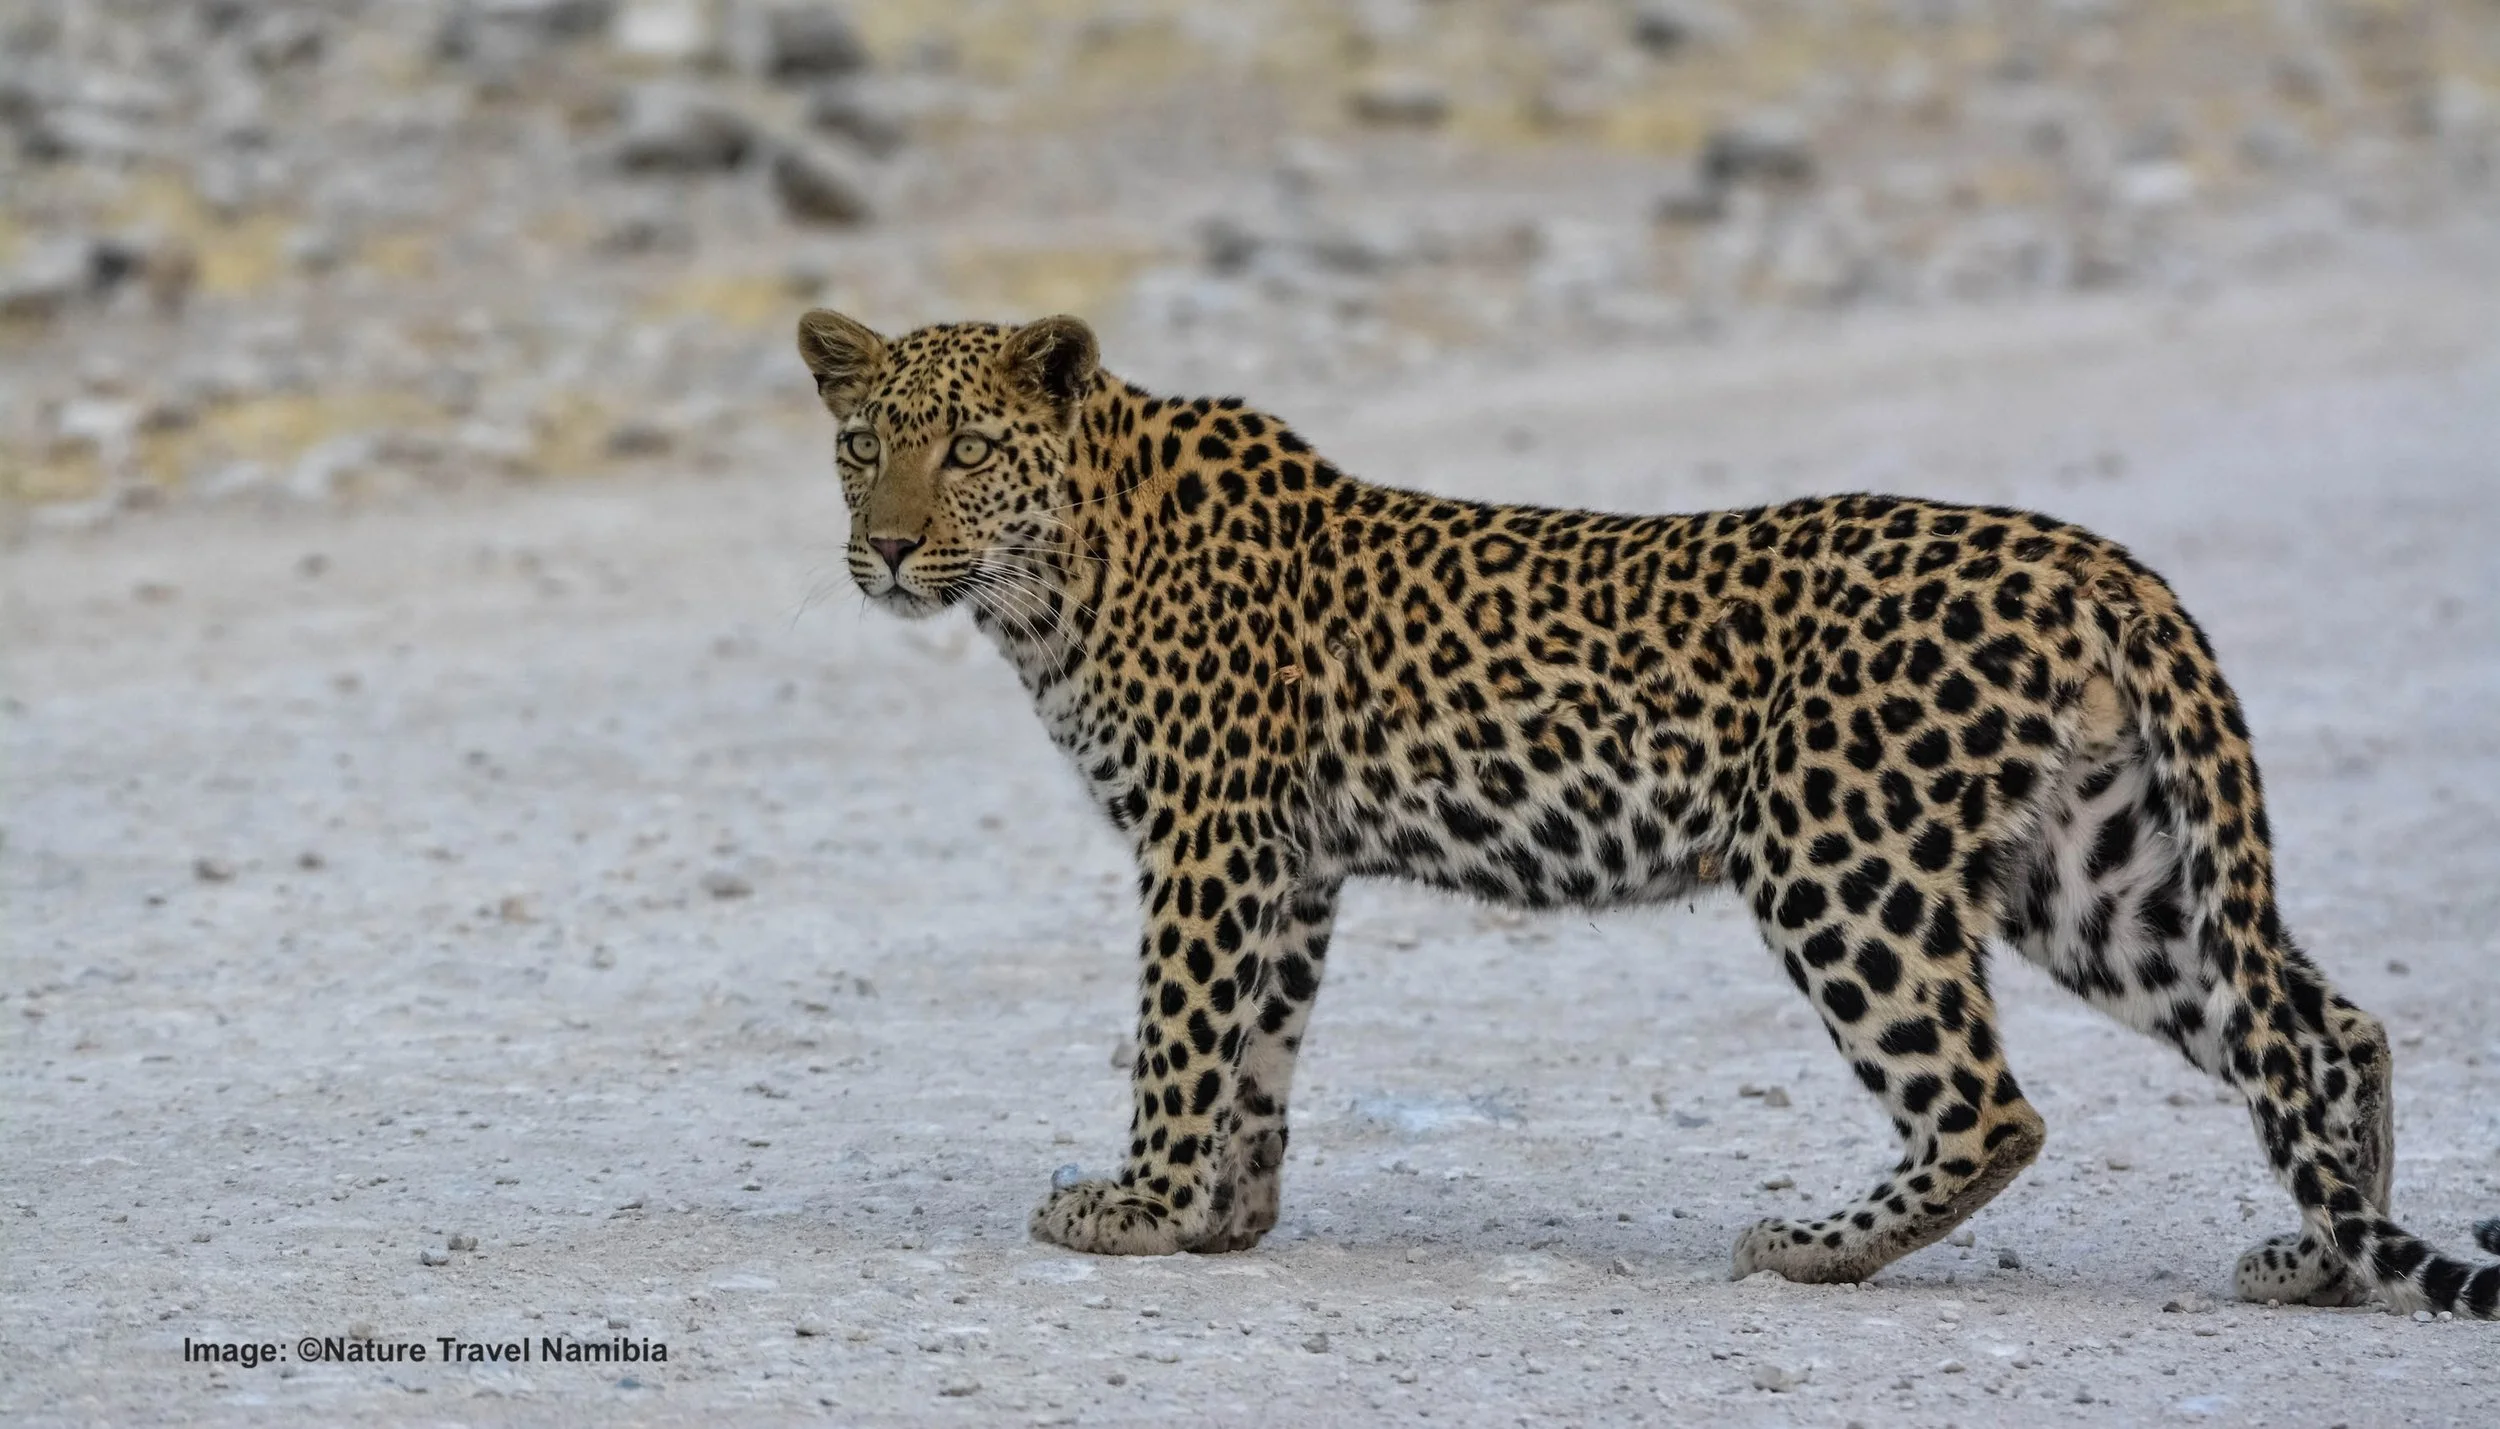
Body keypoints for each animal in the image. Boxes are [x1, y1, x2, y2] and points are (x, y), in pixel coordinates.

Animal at [793, 307, 2500, 1317]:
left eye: (967, 447)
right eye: (865, 445)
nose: (886, 549)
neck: (1053, 578)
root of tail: (2096, 560)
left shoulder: (1210, 836)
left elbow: (1179, 1031)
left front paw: (1139, 1206)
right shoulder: (1290, 859)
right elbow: (1257, 1046)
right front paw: (1223, 1214)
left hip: (1837, 854)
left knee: (1991, 1100)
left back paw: (1815, 1248)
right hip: (2097, 869)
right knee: (2323, 1028)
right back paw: (2324, 1256)